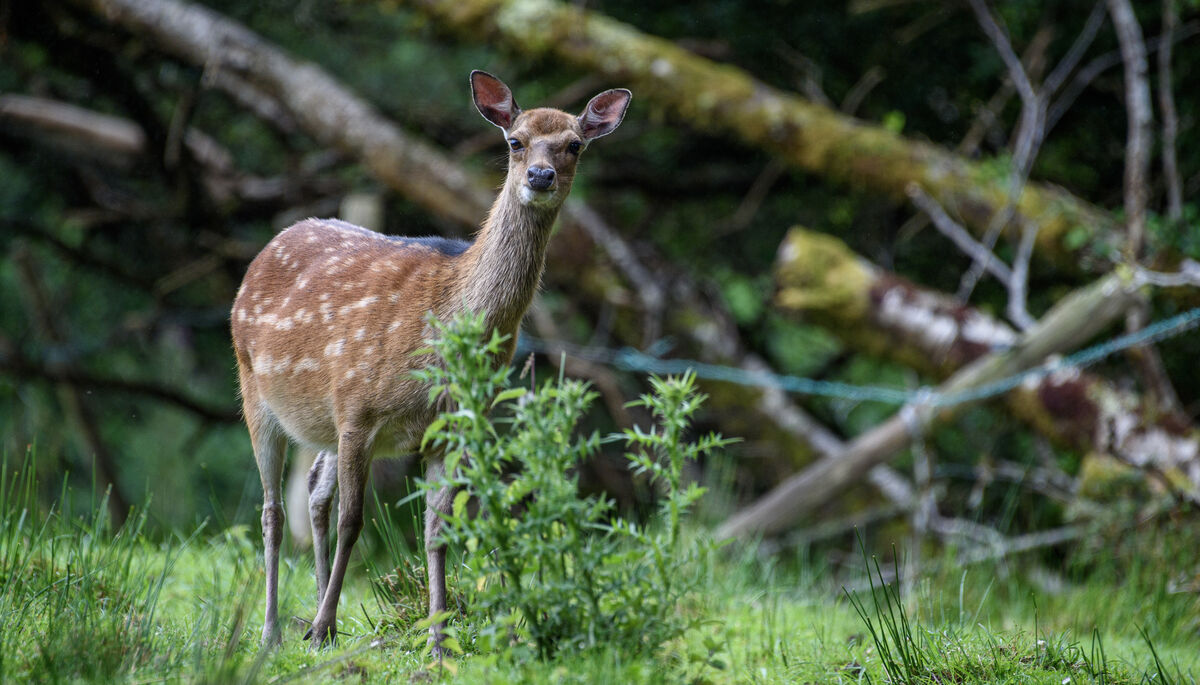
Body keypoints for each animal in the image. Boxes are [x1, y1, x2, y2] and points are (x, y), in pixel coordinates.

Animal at [231, 71, 631, 651]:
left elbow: (438, 530)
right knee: (272, 511)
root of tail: (263, 253)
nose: (540, 175)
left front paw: (438, 640)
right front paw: (325, 624)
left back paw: (319, 621)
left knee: (314, 492)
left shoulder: (451, 424)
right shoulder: (359, 408)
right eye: (515, 141)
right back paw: (275, 631)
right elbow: (356, 521)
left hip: (321, 419)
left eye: (574, 144)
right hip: (255, 391)